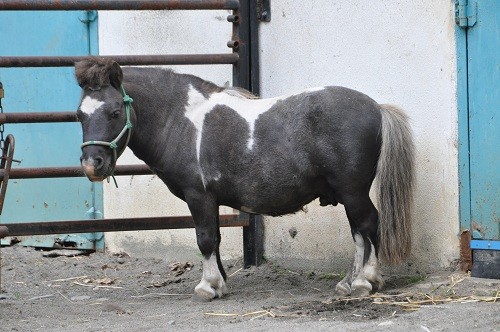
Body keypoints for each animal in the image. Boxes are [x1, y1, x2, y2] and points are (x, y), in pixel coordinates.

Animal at [74, 57, 416, 300]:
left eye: (115, 111)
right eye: (80, 114)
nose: (93, 165)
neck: (183, 121)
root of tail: (377, 107)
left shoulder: (199, 196)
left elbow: (205, 238)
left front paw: (208, 286)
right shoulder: (209, 201)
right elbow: (215, 238)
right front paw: (220, 283)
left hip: (353, 191)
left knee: (368, 224)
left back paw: (364, 281)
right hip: (347, 194)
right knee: (359, 232)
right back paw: (349, 282)